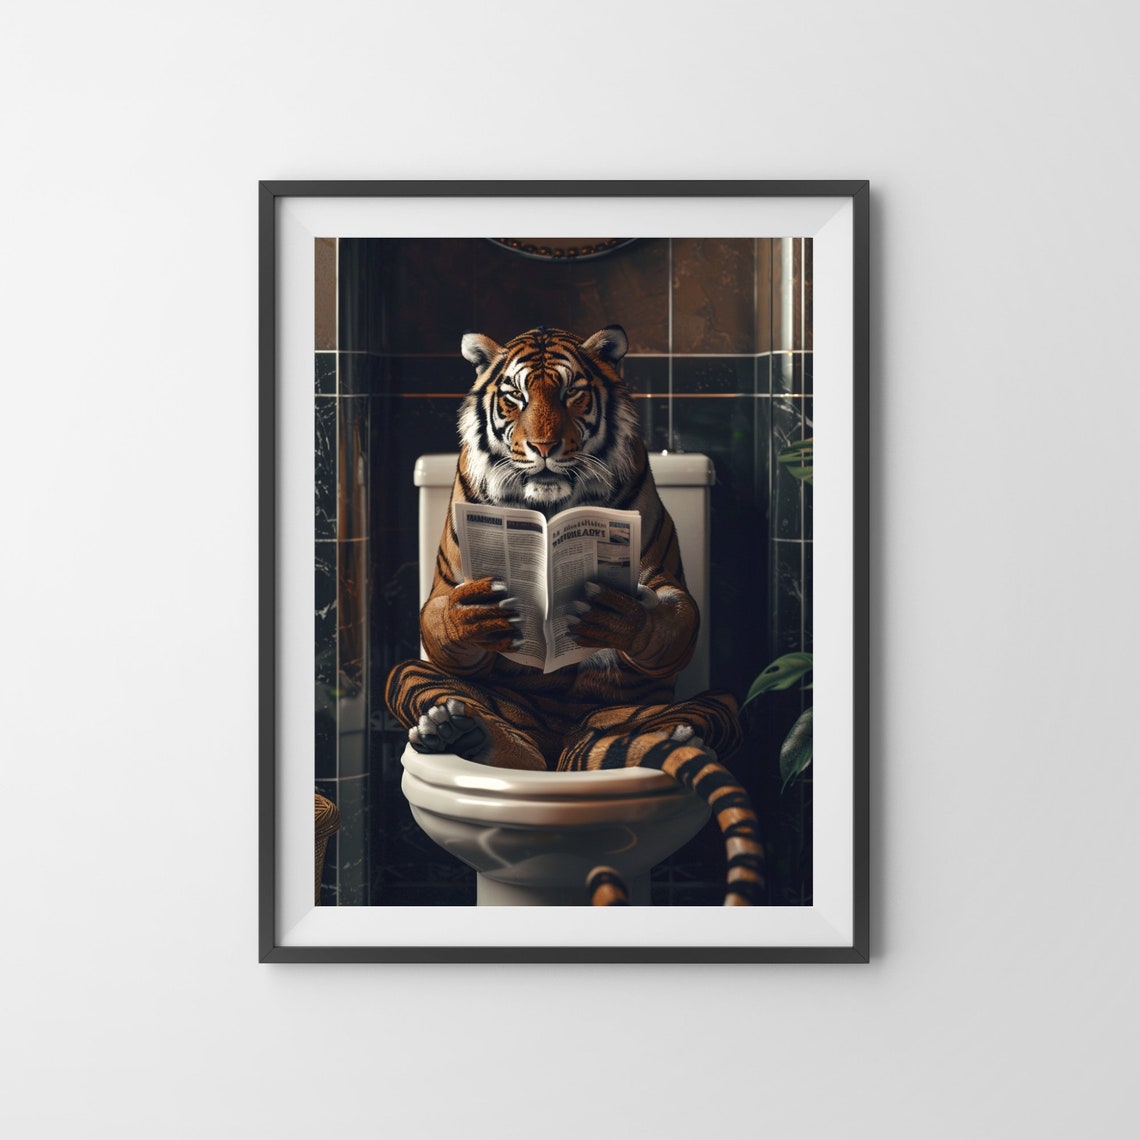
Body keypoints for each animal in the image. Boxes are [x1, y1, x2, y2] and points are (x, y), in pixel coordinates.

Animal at [384, 324, 765, 906]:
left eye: (571, 393)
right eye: (515, 396)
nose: (543, 448)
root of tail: (559, 747)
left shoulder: (662, 578)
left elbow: (670, 618)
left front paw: (618, 617)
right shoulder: (447, 582)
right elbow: (444, 620)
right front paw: (475, 618)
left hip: (663, 714)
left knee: (703, 713)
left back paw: (680, 738)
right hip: (426, 685)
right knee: (489, 733)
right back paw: (458, 735)